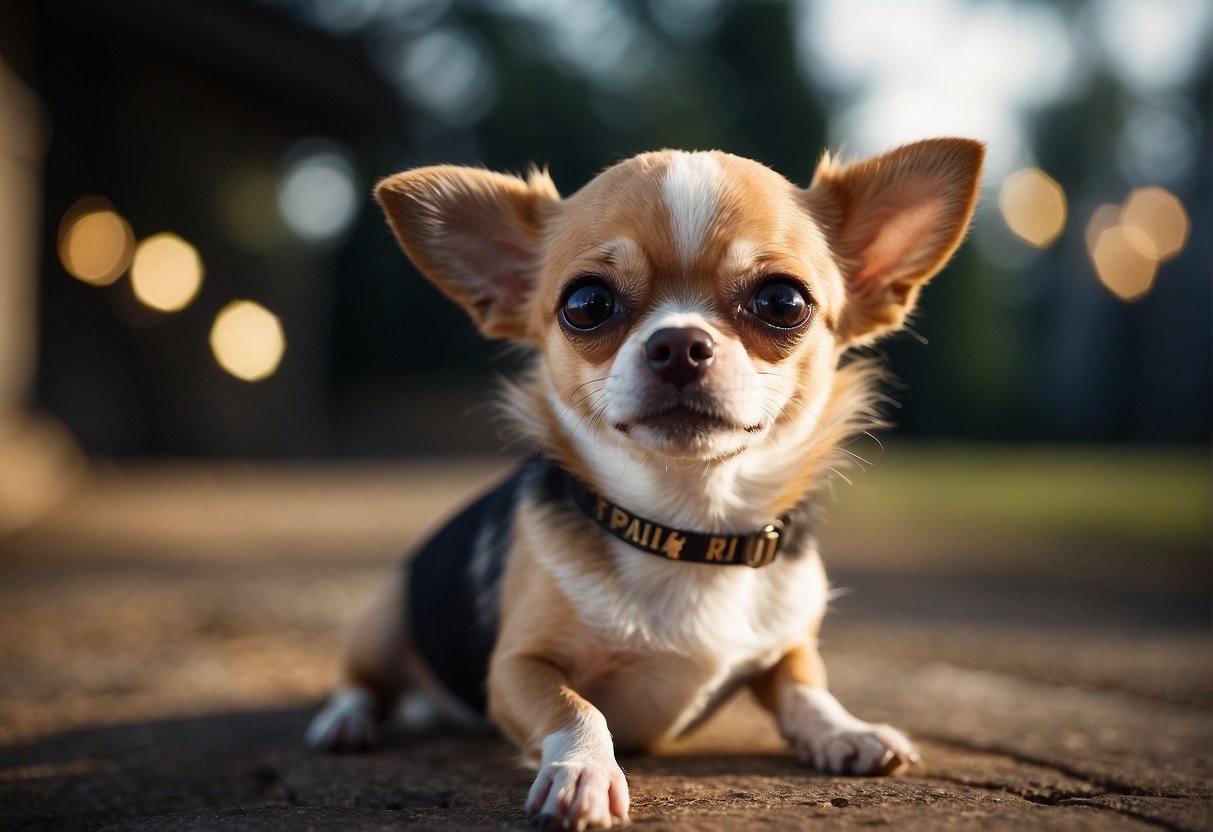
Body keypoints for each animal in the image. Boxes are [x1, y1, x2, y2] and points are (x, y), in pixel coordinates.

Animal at [305, 140, 984, 829]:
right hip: (385, 618)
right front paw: (582, 770)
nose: (679, 343)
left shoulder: (788, 643)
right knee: (359, 682)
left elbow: (805, 685)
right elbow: (574, 706)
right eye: (587, 304)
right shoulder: (514, 668)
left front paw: (846, 729)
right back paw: (345, 722)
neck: (687, 530)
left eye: (782, 302)